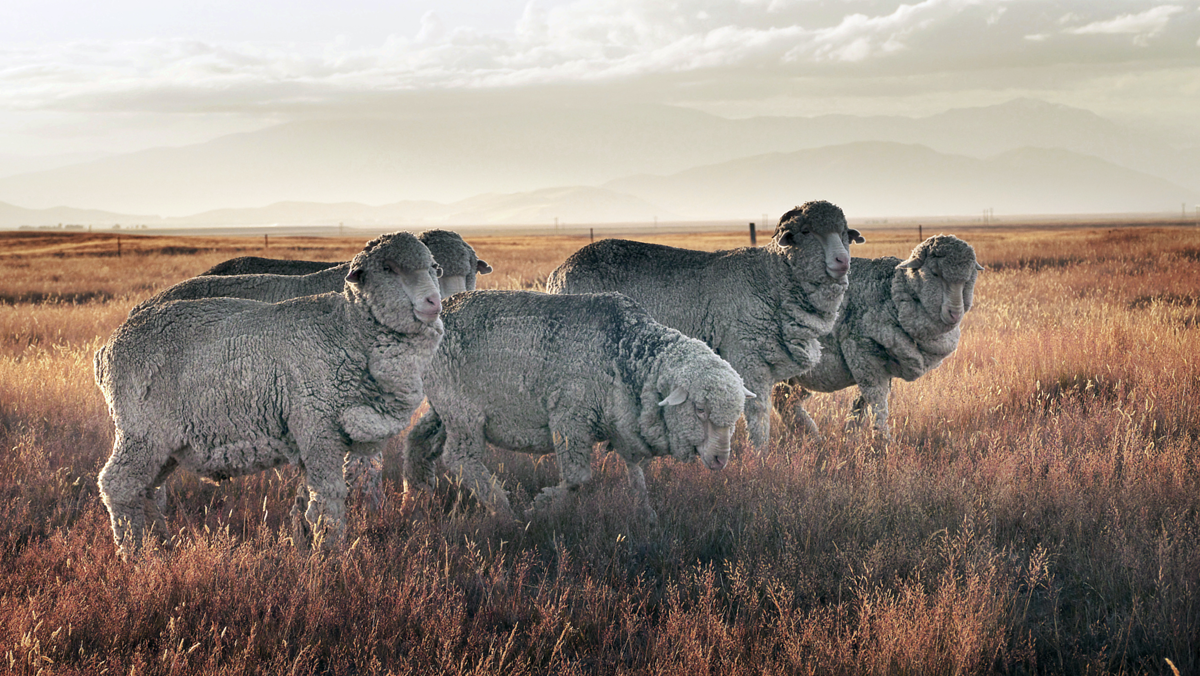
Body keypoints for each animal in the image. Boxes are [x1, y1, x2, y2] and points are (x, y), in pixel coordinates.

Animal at [94, 232, 444, 557]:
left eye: (432, 267)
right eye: (388, 268)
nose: (433, 302)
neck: (346, 331)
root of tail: (108, 346)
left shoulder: (320, 439)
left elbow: (307, 501)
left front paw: (305, 548)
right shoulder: (317, 428)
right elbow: (329, 498)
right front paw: (330, 556)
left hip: (165, 444)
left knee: (147, 489)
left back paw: (161, 547)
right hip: (141, 431)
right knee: (119, 486)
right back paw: (135, 555)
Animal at [404, 290, 755, 522]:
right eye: (700, 410)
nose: (720, 459)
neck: (625, 351)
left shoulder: (622, 424)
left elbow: (637, 477)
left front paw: (648, 517)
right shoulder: (570, 418)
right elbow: (578, 479)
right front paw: (540, 506)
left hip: (443, 406)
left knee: (418, 440)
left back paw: (415, 495)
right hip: (461, 407)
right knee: (459, 457)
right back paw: (502, 509)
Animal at [544, 201, 862, 452]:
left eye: (845, 233)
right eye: (806, 232)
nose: (842, 260)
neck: (768, 277)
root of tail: (557, 274)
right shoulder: (747, 358)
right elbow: (757, 413)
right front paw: (761, 457)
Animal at [774, 234, 983, 439]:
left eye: (969, 278)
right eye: (934, 273)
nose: (955, 313)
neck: (892, 294)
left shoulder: (880, 366)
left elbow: (861, 405)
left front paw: (851, 434)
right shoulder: (862, 354)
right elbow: (877, 402)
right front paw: (882, 440)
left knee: (783, 399)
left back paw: (808, 434)